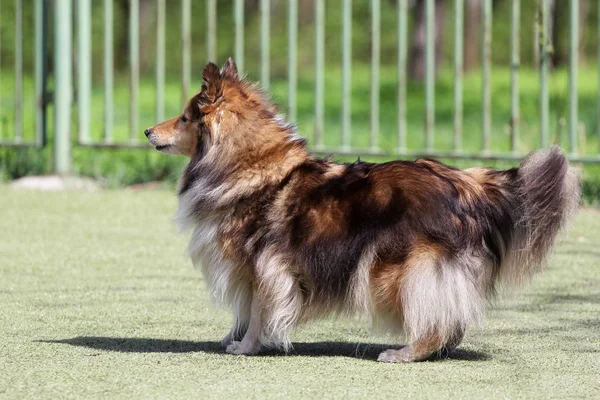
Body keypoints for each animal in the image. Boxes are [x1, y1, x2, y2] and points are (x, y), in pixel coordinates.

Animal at [143, 59, 580, 362]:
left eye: (184, 117)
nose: (147, 131)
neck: (250, 164)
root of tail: (467, 183)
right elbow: (246, 312)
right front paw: (232, 338)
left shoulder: (261, 267)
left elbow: (257, 310)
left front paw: (246, 347)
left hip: (402, 270)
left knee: (436, 319)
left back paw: (405, 353)